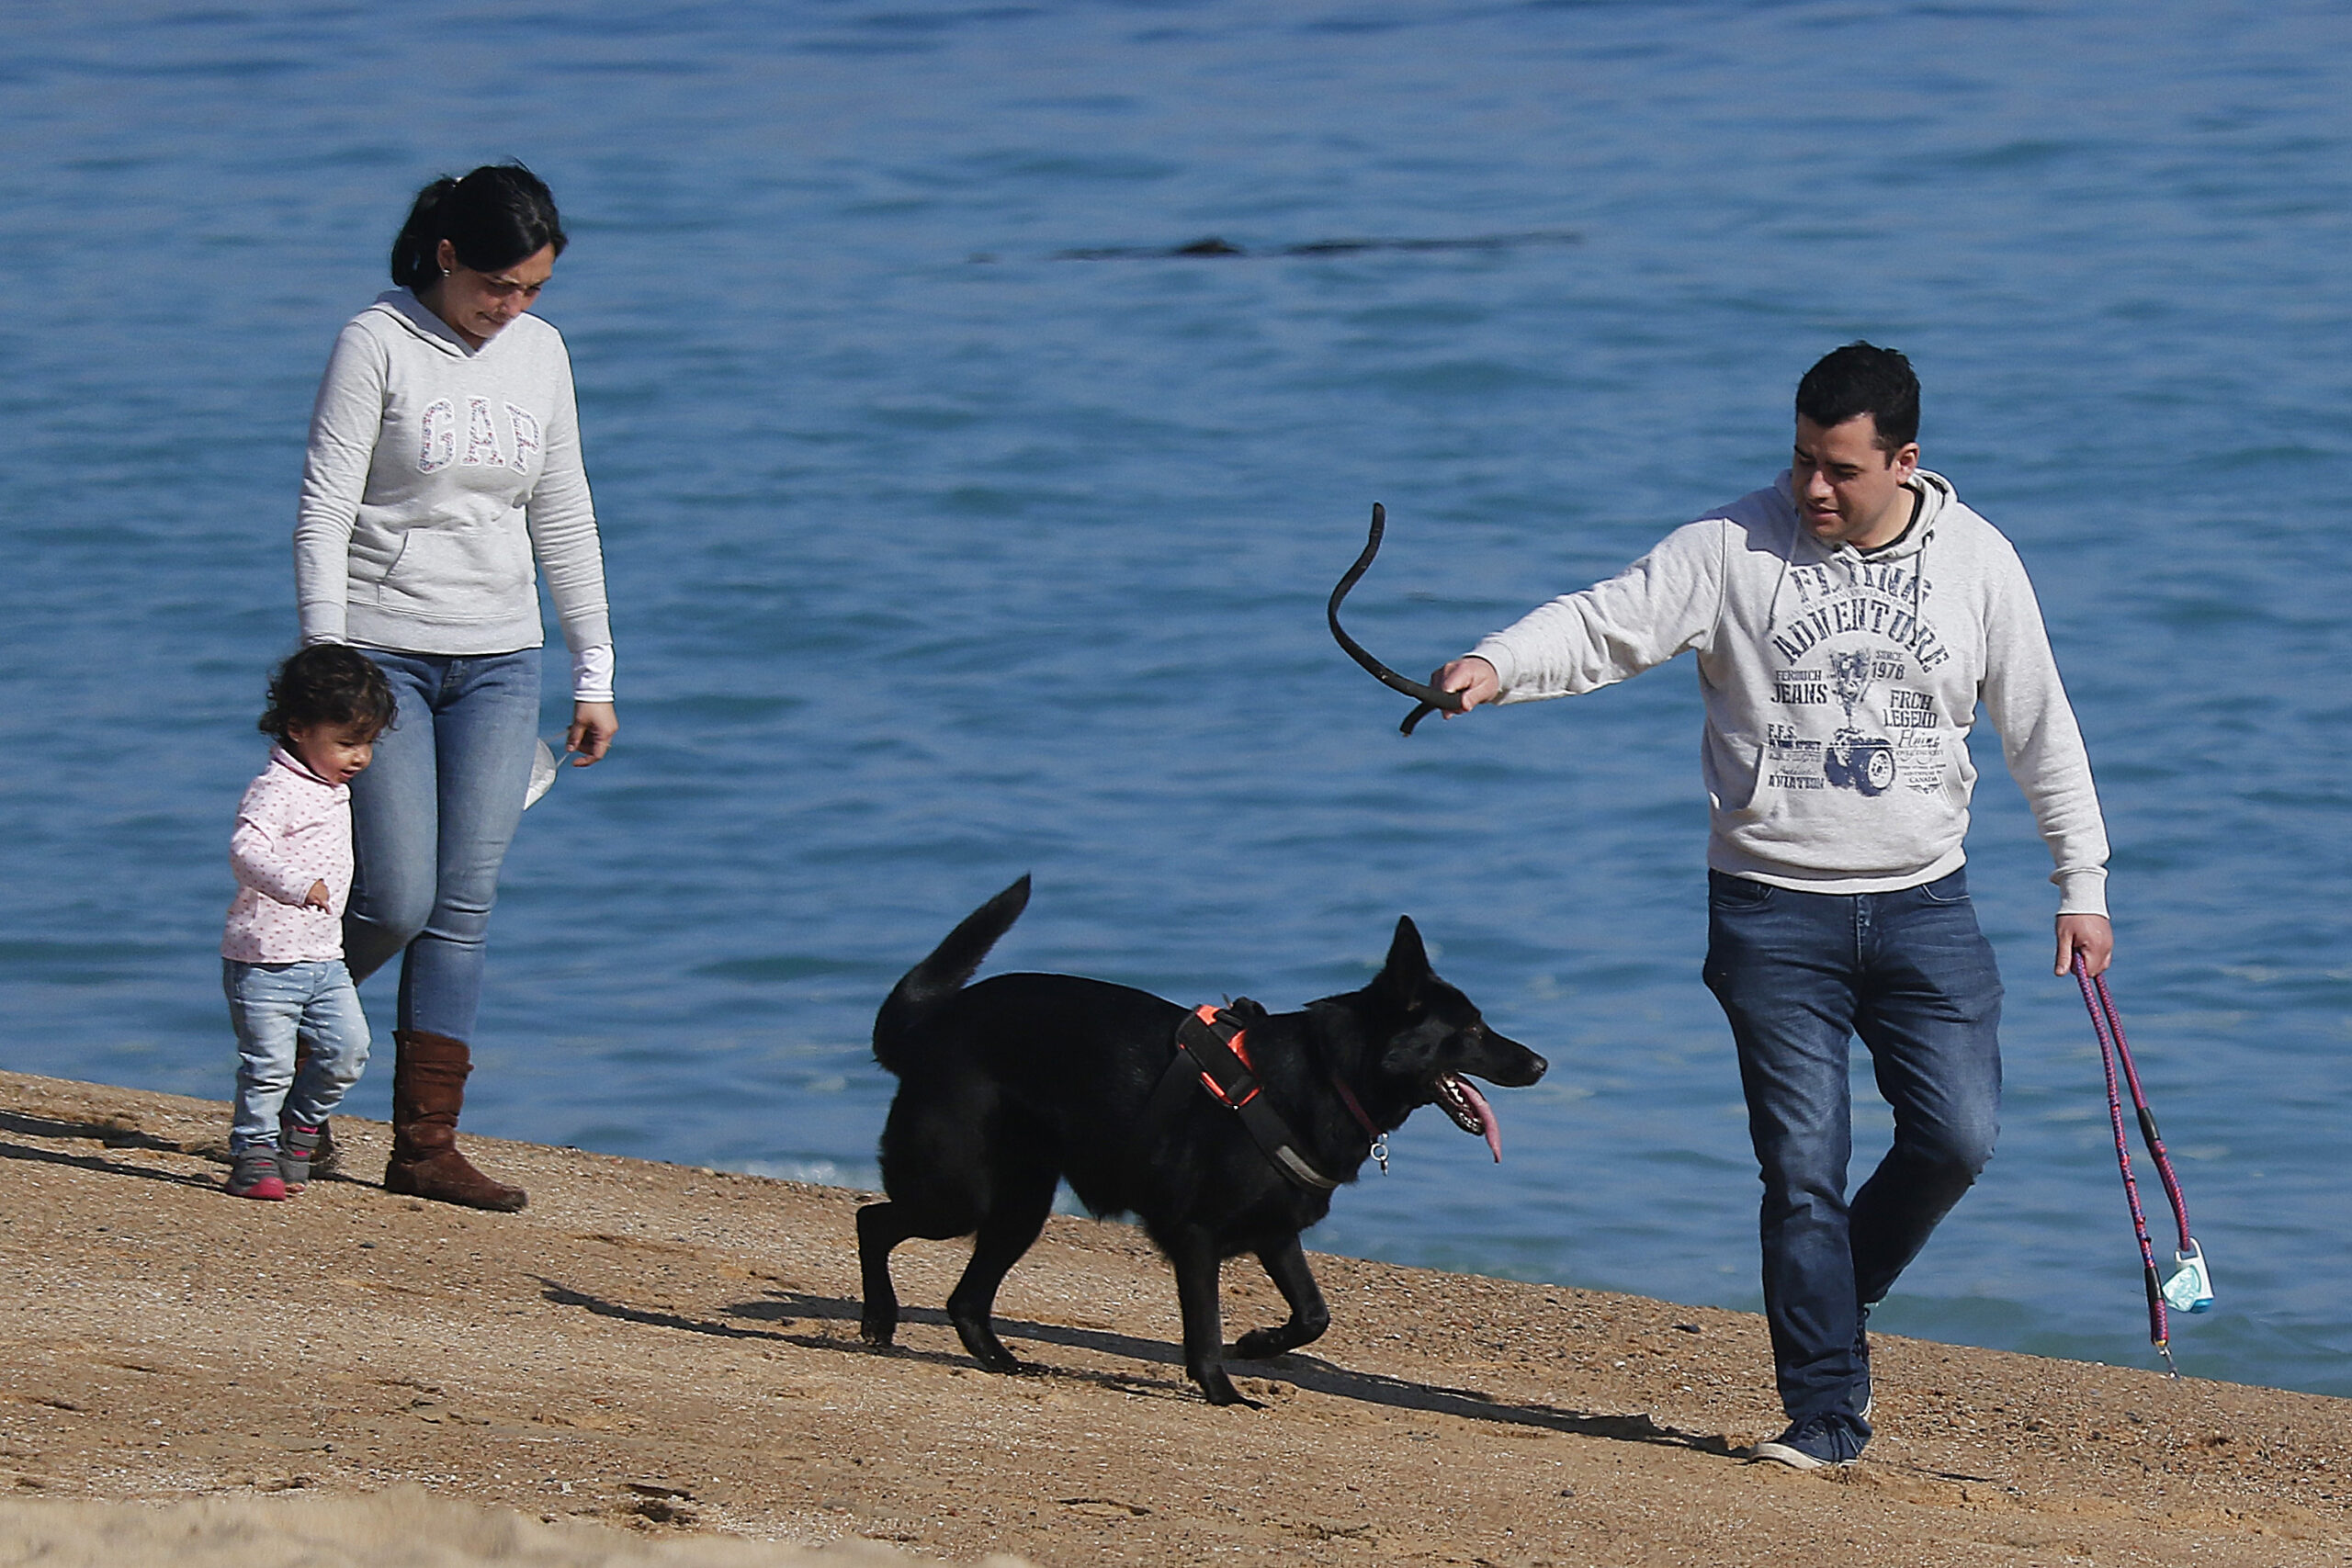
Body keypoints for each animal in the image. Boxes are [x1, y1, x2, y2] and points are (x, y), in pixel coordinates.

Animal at [855, 879, 1552, 1401]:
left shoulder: (1277, 1233)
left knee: (966, 1299)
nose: (1542, 1063)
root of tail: (928, 1027)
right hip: (960, 1195)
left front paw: (1259, 1344)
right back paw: (879, 1319)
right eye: (1472, 1030)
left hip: (1018, 1207)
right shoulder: (1196, 1236)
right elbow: (1206, 1327)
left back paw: (999, 1358)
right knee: (873, 1221)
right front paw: (1222, 1390)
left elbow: (1313, 1314)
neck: (1326, 1072)